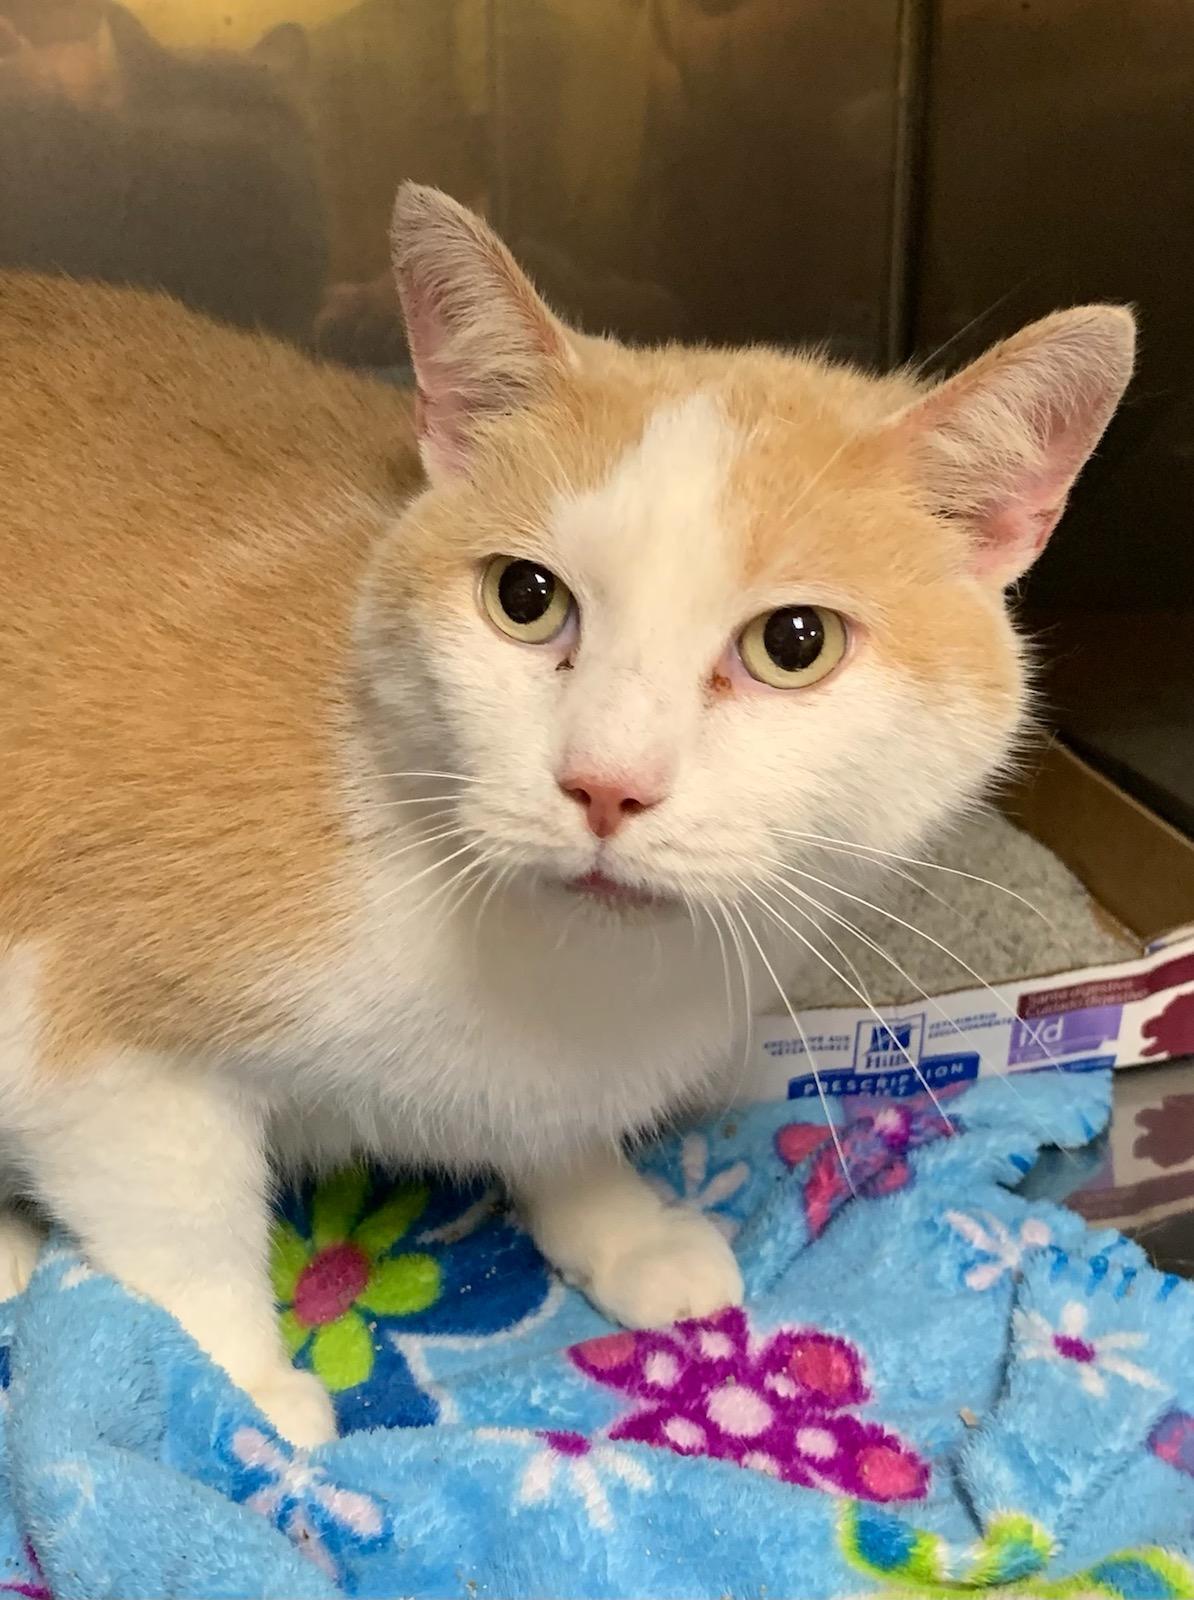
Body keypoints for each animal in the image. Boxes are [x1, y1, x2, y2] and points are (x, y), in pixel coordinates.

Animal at [0, 181, 1133, 1446]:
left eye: (796, 643)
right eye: (525, 597)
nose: (605, 783)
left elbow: (556, 1125)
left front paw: (615, 1216)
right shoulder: (94, 1028)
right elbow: (179, 1217)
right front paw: (231, 1393)